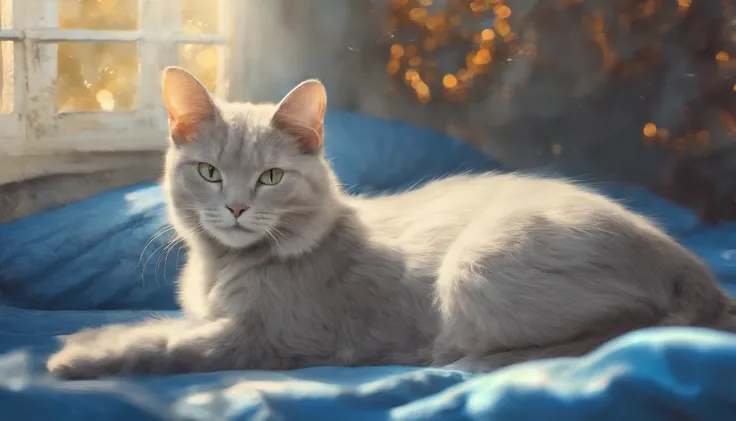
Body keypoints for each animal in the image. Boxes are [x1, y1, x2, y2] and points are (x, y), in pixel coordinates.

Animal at [47, 66, 736, 378]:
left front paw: (79, 354)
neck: (229, 265)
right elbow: (168, 325)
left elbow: (168, 342)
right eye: (210, 172)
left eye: (270, 178)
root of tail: (688, 264)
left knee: (630, 326)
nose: (237, 208)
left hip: (478, 265)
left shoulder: (270, 339)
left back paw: (466, 359)